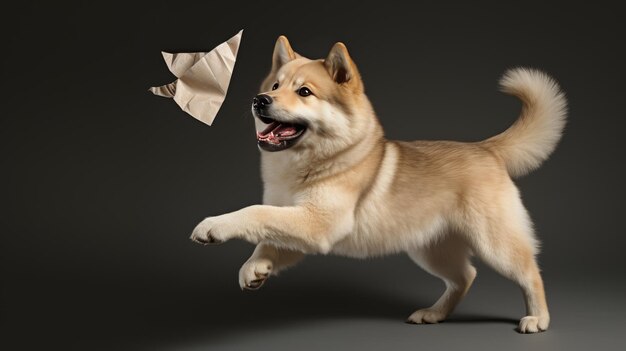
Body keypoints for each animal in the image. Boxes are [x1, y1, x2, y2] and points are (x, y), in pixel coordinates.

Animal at [190, 35, 564, 336]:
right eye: (274, 86)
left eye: (305, 92)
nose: (259, 100)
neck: (314, 162)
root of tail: (486, 148)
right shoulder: (301, 225)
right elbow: (269, 233)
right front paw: (257, 267)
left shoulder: (318, 223)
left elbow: (256, 213)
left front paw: (215, 227)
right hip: (430, 248)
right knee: (465, 276)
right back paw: (434, 314)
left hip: (495, 243)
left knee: (530, 272)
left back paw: (538, 319)